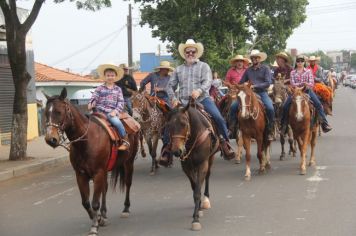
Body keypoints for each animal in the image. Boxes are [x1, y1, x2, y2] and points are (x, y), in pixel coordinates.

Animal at [43, 88, 138, 236]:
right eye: (46, 113)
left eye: (58, 112)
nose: (50, 139)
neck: (86, 140)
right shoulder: (81, 175)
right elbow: (86, 202)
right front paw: (97, 218)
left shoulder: (98, 173)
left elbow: (94, 203)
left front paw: (94, 226)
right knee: (105, 189)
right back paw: (103, 215)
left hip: (129, 162)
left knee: (128, 184)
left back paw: (126, 209)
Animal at [166, 101, 220, 230]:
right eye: (169, 125)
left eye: (184, 124)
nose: (177, 151)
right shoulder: (186, 167)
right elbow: (194, 186)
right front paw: (198, 208)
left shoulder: (203, 164)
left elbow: (197, 191)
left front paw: (195, 219)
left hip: (210, 158)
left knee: (207, 176)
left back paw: (206, 200)